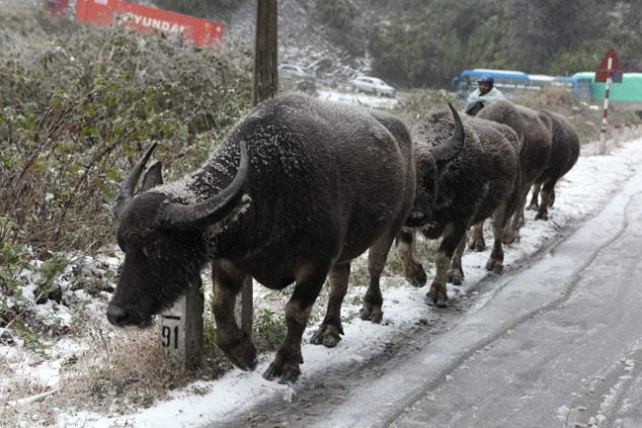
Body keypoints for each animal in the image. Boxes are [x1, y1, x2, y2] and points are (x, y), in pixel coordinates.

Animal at [106, 93, 416, 384]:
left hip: (394, 222)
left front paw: (286, 364)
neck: (272, 184)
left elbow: (295, 311)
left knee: (375, 264)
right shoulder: (231, 260)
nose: (117, 314)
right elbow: (220, 305)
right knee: (340, 281)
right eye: (123, 245)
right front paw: (243, 353)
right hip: (345, 248)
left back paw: (372, 307)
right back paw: (329, 329)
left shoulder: (316, 262)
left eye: (156, 245)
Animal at [398, 106, 516, 308]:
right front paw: (417, 276)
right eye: (407, 179)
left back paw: (495, 261)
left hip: (505, 202)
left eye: (430, 178)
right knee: (463, 244)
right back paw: (455, 273)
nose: (416, 216)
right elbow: (403, 249)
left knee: (497, 230)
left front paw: (437, 293)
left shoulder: (459, 220)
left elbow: (442, 256)